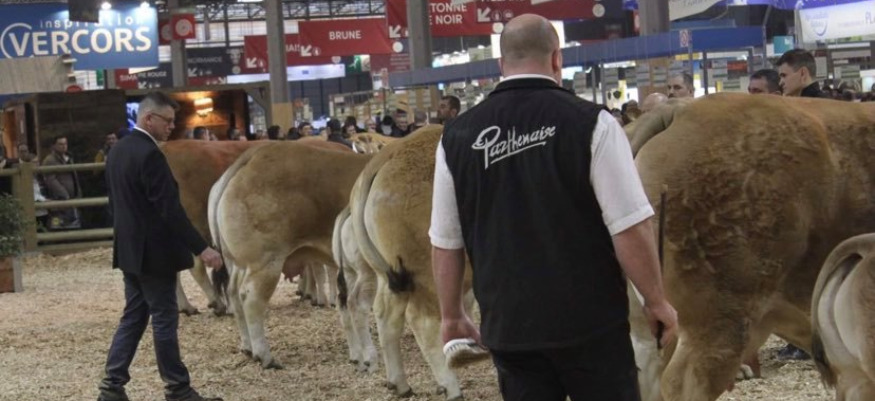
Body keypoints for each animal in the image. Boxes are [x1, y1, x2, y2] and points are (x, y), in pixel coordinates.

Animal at [208, 141, 371, 369]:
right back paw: (264, 356)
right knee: (251, 299)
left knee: (234, 293)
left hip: (238, 262)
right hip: (266, 262)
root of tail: (253, 156)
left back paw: (248, 347)